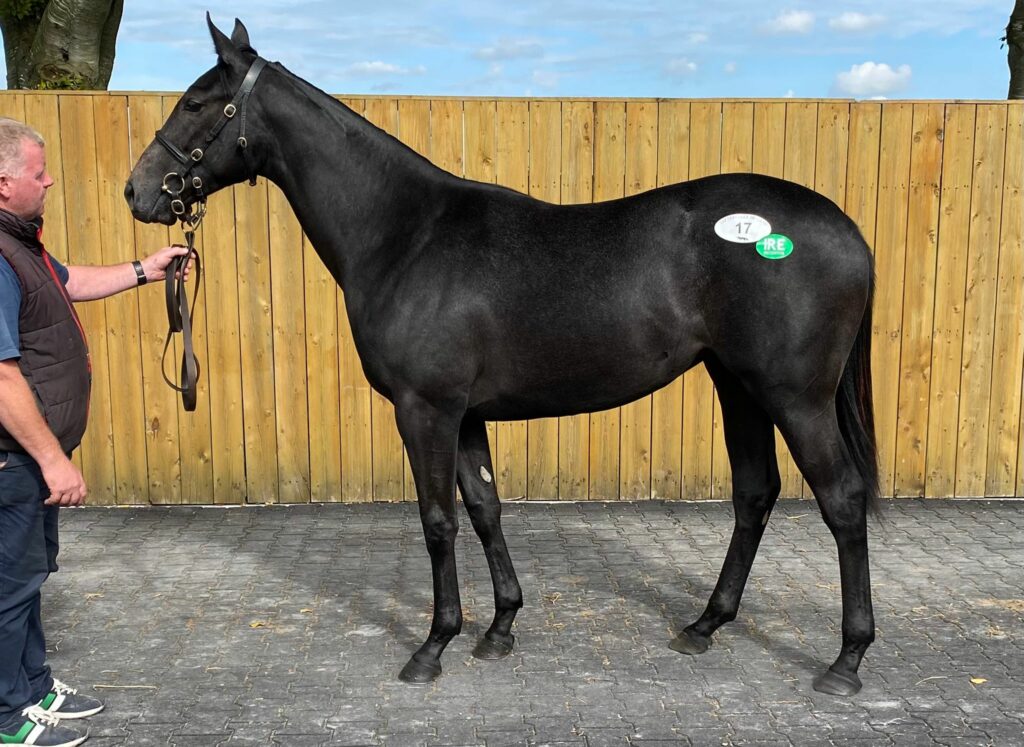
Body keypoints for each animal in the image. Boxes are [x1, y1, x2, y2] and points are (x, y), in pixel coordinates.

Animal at [124, 16, 880, 696]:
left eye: (196, 104)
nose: (138, 190)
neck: (406, 235)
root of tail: (847, 231)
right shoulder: (465, 414)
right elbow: (485, 507)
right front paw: (499, 627)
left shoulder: (425, 410)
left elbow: (438, 521)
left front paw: (433, 645)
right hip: (739, 386)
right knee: (755, 493)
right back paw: (704, 625)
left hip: (793, 396)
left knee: (842, 500)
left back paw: (846, 660)